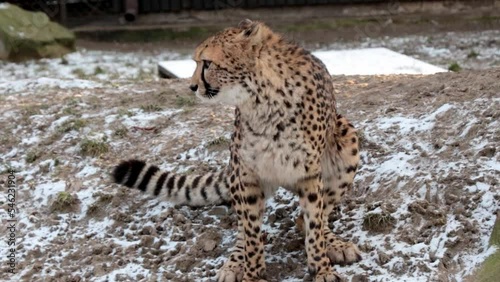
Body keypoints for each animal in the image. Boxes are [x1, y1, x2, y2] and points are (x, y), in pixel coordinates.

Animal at [113, 19, 362, 280]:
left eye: (207, 63)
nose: (192, 86)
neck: (264, 99)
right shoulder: (248, 174)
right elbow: (251, 232)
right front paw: (251, 273)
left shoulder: (309, 175)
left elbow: (314, 225)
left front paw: (322, 269)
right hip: (237, 170)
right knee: (244, 228)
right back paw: (234, 264)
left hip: (347, 138)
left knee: (310, 220)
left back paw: (335, 243)